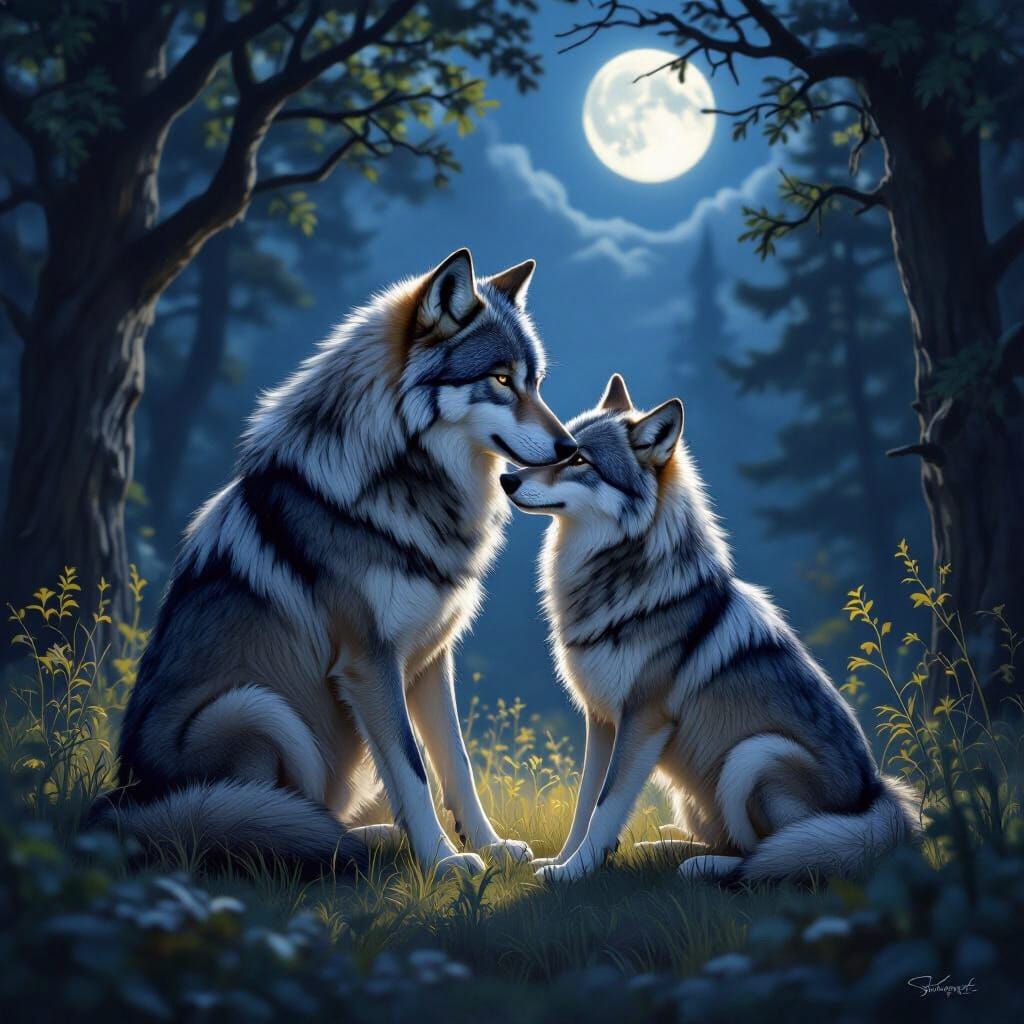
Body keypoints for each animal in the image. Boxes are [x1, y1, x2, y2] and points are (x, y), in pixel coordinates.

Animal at [99, 248, 576, 877]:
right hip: (255, 709)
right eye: (500, 380)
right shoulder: (369, 661)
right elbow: (413, 770)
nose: (572, 447)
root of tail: (123, 806)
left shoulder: (431, 660)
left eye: (536, 383)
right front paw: (442, 862)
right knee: (256, 820)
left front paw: (490, 847)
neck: (407, 485)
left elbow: (457, 764)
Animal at [501, 373, 919, 884]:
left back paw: (704, 866)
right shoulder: (600, 721)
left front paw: (574, 872)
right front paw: (562, 862)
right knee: (732, 840)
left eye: (579, 459)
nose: (506, 478)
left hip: (752, 755)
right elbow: (584, 804)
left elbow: (606, 805)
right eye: (562, 448)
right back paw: (662, 845)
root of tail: (877, 796)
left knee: (770, 853)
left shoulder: (642, 720)